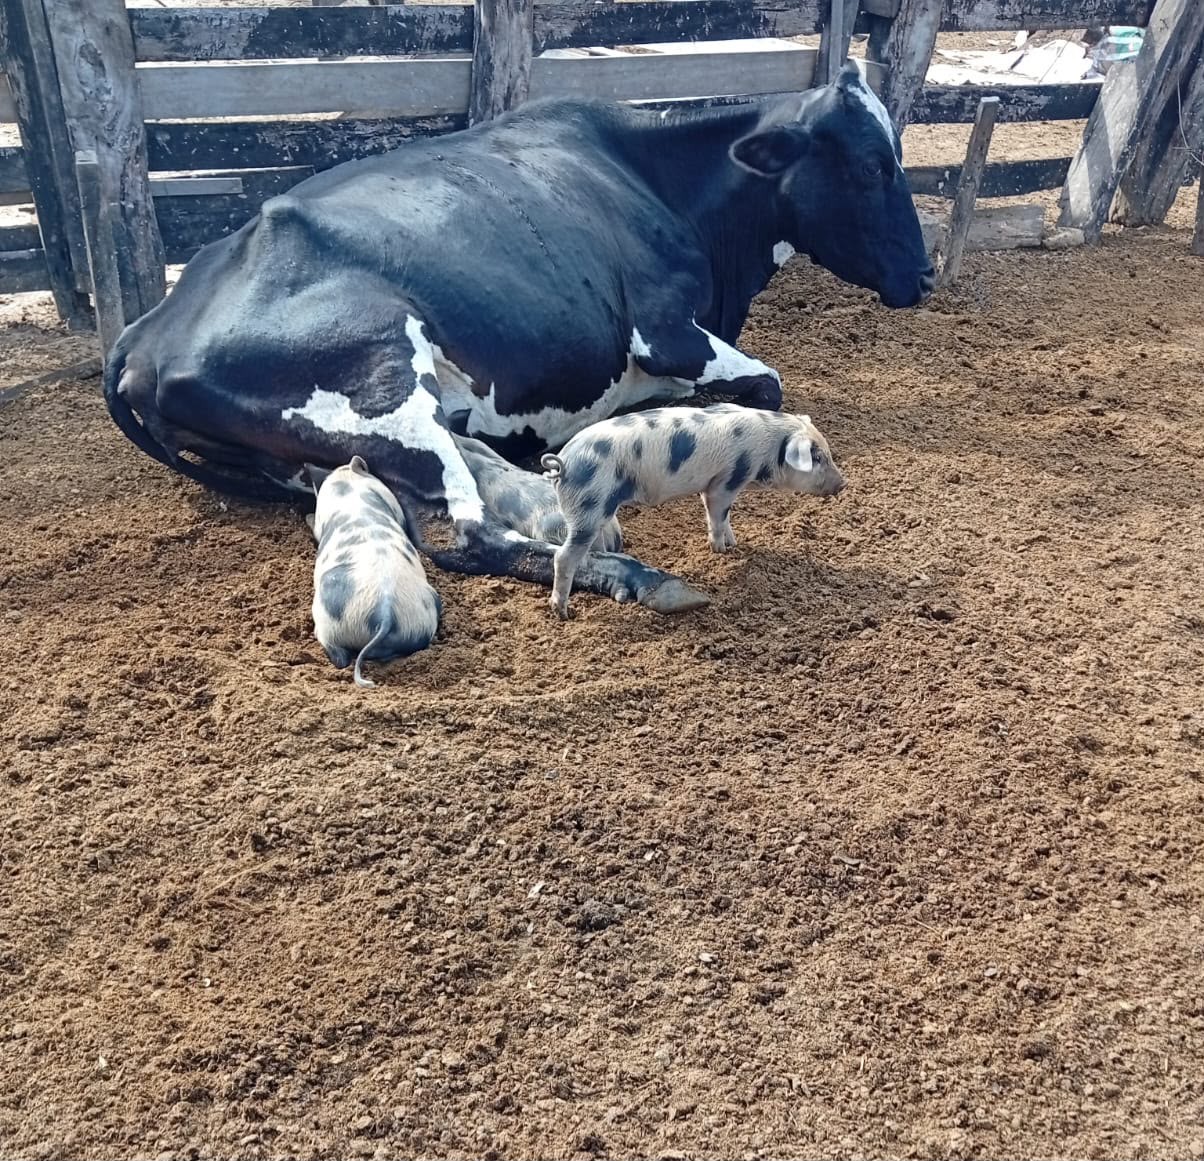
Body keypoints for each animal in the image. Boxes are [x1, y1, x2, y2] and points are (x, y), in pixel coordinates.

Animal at [103, 63, 933, 612]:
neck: (664, 182)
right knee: (470, 532)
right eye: (871, 166)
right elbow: (767, 381)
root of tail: (147, 328)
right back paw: (638, 575)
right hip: (385, 379)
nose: (924, 274)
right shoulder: (666, 332)